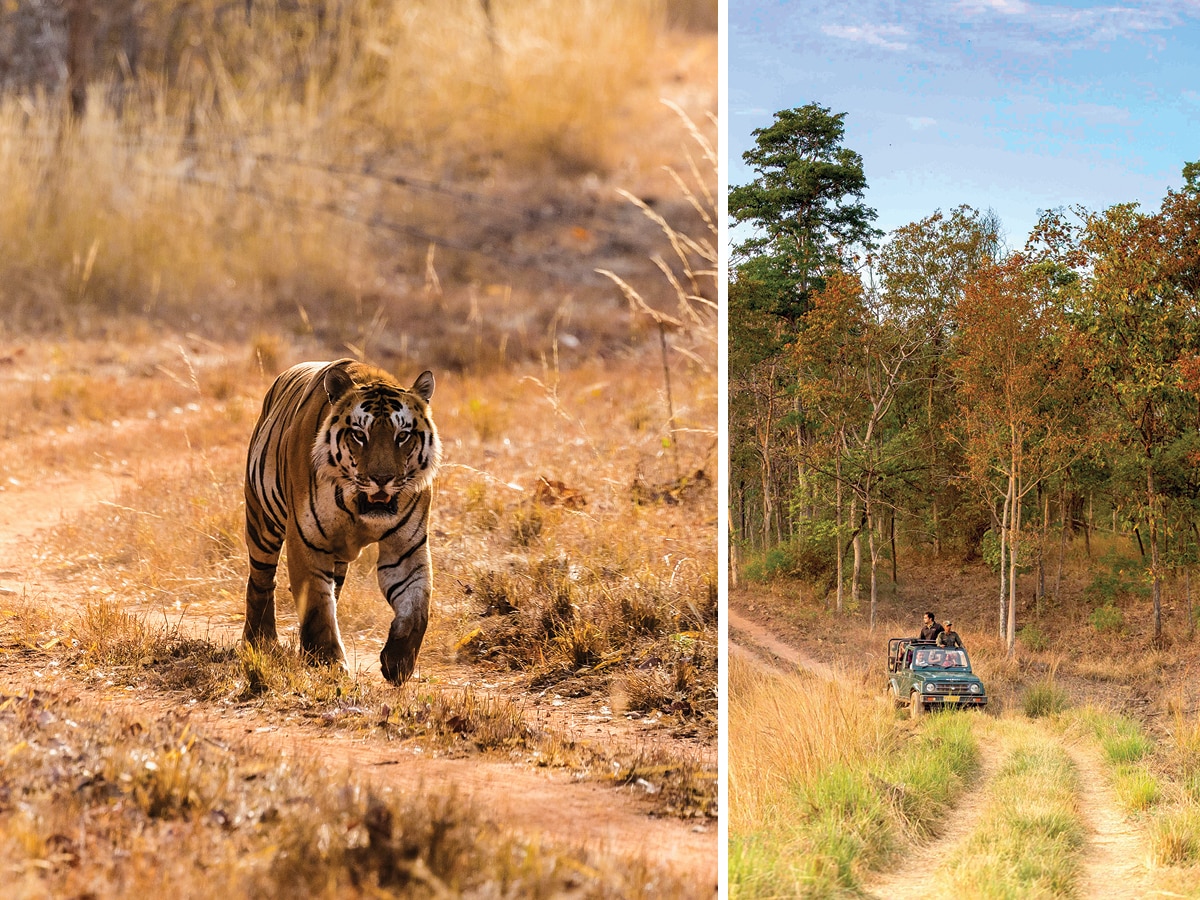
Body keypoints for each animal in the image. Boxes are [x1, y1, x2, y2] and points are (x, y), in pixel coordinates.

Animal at [238, 360, 441, 681]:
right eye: (359, 435)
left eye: (402, 436)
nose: (382, 479)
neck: (356, 506)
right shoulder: (306, 542)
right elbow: (318, 607)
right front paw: (329, 664)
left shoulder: (405, 548)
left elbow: (417, 607)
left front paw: (398, 663)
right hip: (262, 523)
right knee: (261, 582)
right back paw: (260, 642)